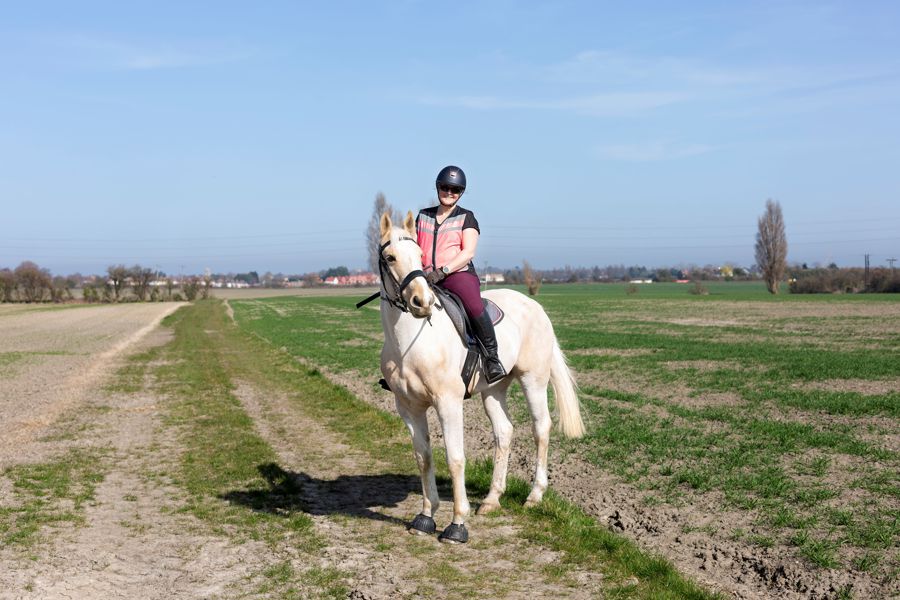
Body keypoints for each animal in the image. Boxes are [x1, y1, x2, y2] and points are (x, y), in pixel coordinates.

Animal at [378, 212, 584, 544]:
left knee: (541, 428)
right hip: (494, 390)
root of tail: (535, 306)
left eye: (419, 255)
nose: (422, 302)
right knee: (504, 432)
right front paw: (425, 516)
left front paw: (457, 524)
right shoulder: (408, 407)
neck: (411, 342)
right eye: (390, 257)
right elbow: (424, 458)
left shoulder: (448, 403)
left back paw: (534, 495)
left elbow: (455, 458)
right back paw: (491, 499)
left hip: (533, 380)